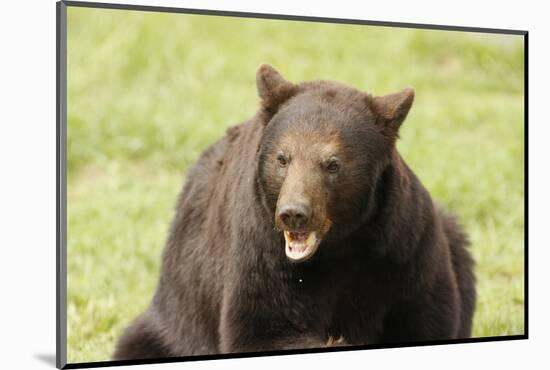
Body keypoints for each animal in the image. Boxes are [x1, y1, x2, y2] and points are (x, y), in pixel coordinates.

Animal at [114, 64, 476, 362]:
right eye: (282, 158)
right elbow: (261, 327)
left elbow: (426, 315)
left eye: (332, 164)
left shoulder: (402, 248)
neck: (340, 245)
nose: (294, 213)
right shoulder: (262, 250)